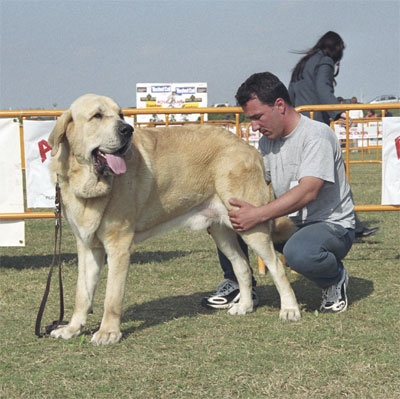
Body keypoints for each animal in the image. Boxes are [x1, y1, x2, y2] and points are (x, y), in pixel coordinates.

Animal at [47, 94, 300, 346]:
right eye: (97, 116)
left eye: (120, 114)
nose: (127, 129)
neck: (89, 184)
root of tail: (249, 147)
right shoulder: (88, 247)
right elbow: (82, 294)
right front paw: (71, 328)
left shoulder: (119, 247)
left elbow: (112, 297)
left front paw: (108, 332)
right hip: (223, 231)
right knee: (241, 266)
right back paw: (244, 306)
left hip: (252, 225)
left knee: (276, 267)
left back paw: (289, 309)